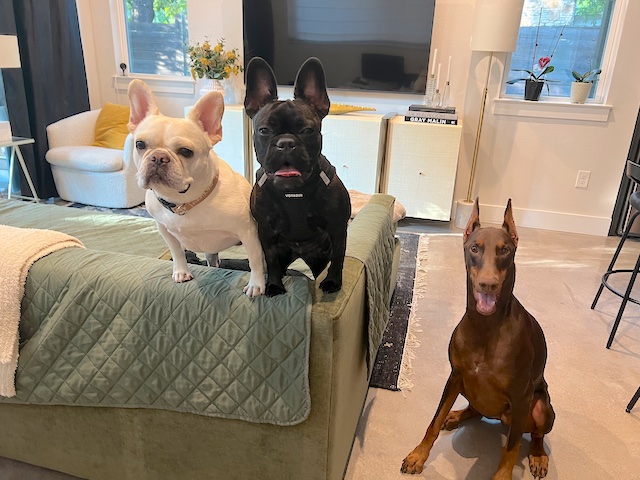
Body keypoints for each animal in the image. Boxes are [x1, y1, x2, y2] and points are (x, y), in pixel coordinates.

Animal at [127, 79, 265, 297]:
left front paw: (256, 285)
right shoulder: (164, 229)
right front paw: (181, 271)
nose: (158, 157)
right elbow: (176, 252)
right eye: (140, 144)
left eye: (186, 151)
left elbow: (255, 260)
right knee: (212, 259)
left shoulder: (248, 233)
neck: (184, 202)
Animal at [244, 57, 351, 297]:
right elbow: (271, 261)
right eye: (264, 130)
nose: (286, 143)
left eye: (307, 130)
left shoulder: (338, 228)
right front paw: (274, 285)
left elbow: (339, 258)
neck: (294, 192)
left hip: (320, 255)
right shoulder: (266, 232)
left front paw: (333, 282)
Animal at [401, 198, 555, 479]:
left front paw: (503, 475)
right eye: (475, 248)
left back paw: (538, 455)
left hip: (541, 408)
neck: (486, 327)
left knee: (535, 434)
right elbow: (434, 420)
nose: (488, 284)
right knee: (475, 408)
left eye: (505, 250)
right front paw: (418, 455)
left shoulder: (522, 396)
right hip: (468, 386)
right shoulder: (455, 376)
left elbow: (512, 447)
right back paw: (456, 415)